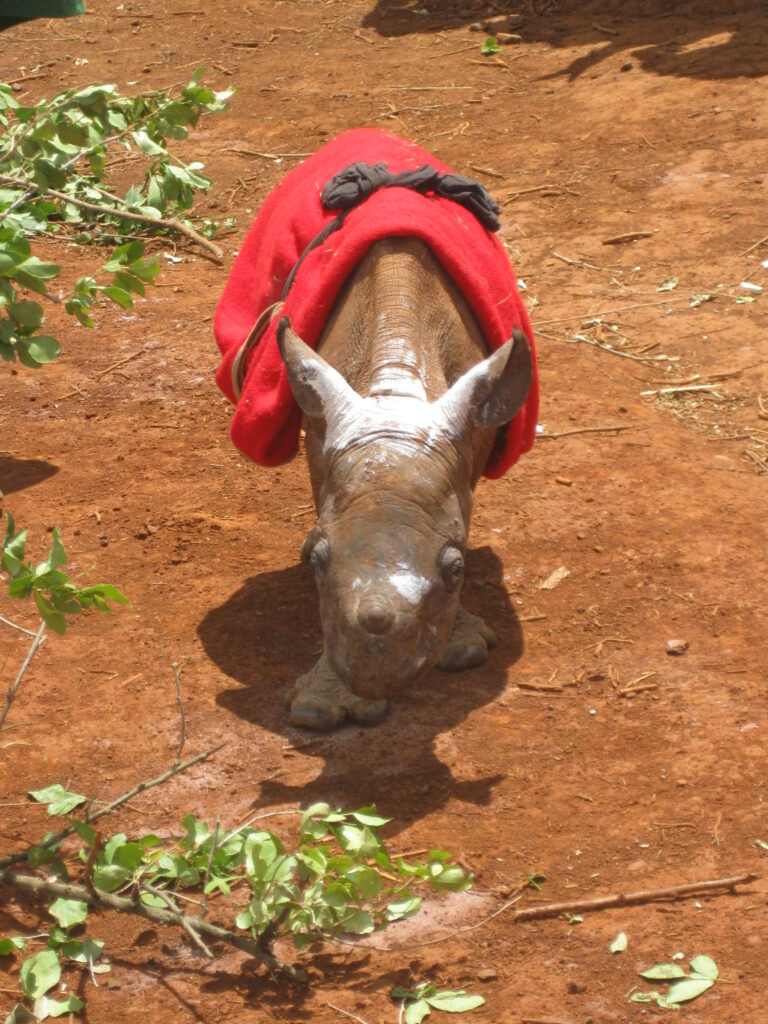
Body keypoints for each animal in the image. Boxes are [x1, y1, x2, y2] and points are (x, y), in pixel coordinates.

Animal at [278, 238, 536, 729]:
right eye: (320, 562)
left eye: (456, 570)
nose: (374, 673)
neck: (396, 390)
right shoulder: (322, 442)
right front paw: (320, 711)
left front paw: (464, 650)